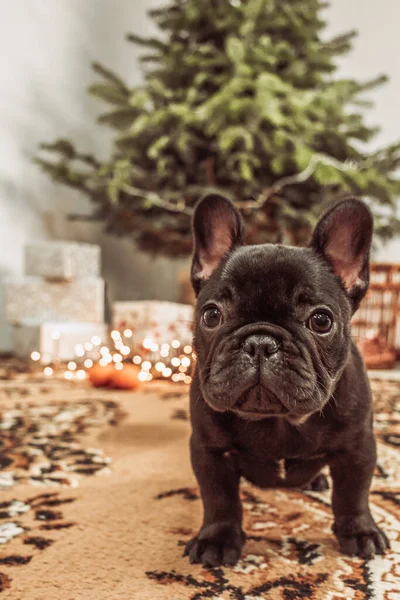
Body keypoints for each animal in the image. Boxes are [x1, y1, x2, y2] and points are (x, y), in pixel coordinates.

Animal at [186, 195, 390, 564]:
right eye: (211, 315)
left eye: (321, 320)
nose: (260, 342)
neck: (278, 420)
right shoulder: (210, 450)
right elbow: (219, 498)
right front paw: (217, 539)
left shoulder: (358, 448)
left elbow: (353, 494)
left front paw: (360, 532)